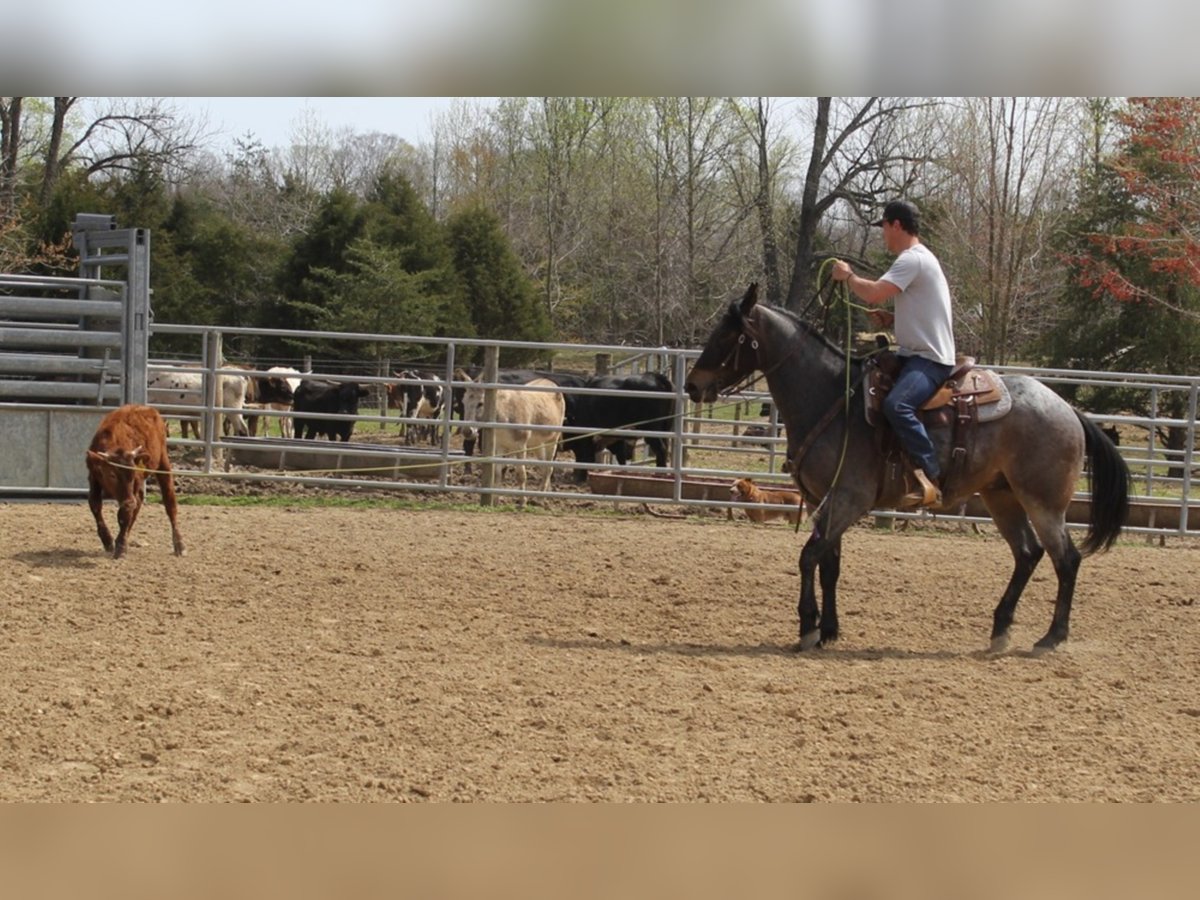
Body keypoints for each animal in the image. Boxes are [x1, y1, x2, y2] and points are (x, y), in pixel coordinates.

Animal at [85, 405, 184, 561]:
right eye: (112, 474)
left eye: (132, 474)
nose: (129, 501)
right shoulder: (93, 477)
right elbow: (95, 504)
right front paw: (108, 540)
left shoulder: (134, 486)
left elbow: (125, 514)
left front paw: (121, 546)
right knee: (138, 505)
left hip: (163, 463)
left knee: (170, 504)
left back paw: (179, 545)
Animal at [460, 374, 568, 508]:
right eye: (463, 402)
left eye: (480, 404)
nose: (467, 432)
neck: (503, 414)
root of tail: (548, 380)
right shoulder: (499, 446)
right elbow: (497, 474)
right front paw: (495, 501)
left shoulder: (520, 445)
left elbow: (521, 474)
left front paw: (522, 502)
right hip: (538, 443)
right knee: (544, 467)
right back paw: (544, 494)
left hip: (552, 440)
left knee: (549, 468)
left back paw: (540, 498)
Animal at [691, 285, 1128, 652]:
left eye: (726, 336)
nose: (694, 385)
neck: (831, 399)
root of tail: (1068, 409)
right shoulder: (823, 500)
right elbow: (829, 563)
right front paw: (829, 630)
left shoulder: (848, 498)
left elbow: (809, 556)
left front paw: (808, 628)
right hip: (1001, 496)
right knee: (1027, 553)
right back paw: (1000, 630)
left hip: (1043, 502)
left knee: (1065, 558)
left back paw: (1052, 637)